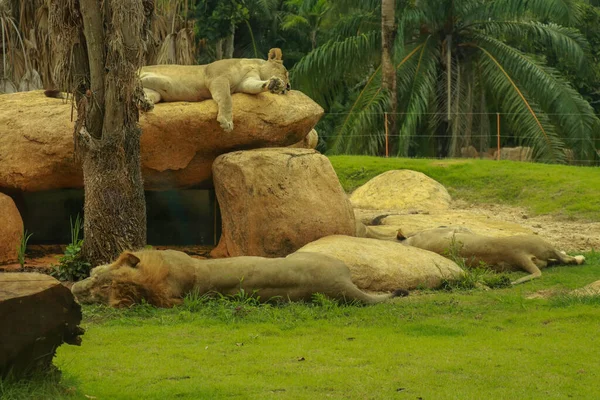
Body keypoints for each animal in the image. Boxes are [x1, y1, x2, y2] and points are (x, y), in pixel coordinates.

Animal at [141, 47, 290, 130]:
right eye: (286, 73)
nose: (288, 87)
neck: (255, 66)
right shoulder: (217, 78)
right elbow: (226, 99)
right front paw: (226, 122)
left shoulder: (246, 81)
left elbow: (255, 86)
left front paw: (274, 84)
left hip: (156, 92)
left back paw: (145, 104)